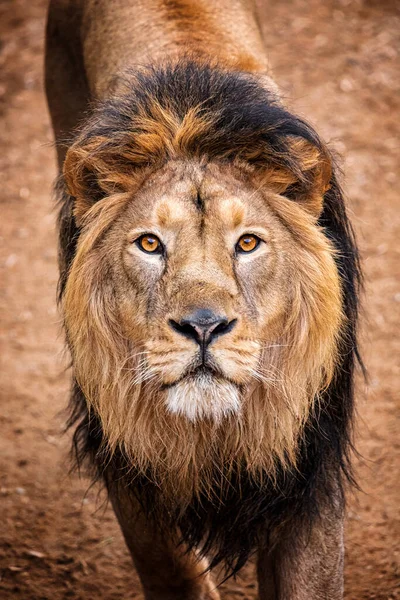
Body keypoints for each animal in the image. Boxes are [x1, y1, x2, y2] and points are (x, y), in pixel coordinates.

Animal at [45, 2, 360, 596]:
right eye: (150, 244)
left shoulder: (309, 473)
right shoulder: (128, 463)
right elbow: (173, 571)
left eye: (248, 243)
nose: (204, 327)